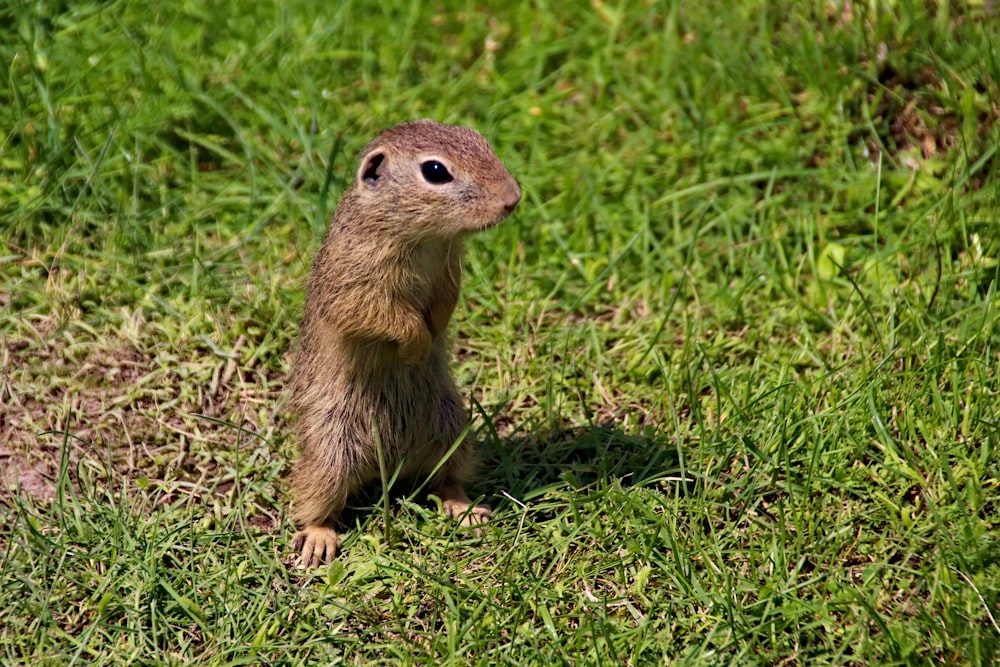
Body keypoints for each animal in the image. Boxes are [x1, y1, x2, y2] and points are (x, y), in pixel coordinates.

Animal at [290, 118, 524, 564]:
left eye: (479, 139)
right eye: (435, 171)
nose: (513, 199)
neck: (423, 238)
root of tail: (392, 465)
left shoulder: (450, 269)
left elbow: (446, 302)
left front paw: (433, 334)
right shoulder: (356, 285)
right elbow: (386, 317)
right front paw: (417, 344)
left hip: (453, 431)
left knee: (445, 479)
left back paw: (465, 509)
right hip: (330, 451)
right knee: (315, 499)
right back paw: (317, 538)